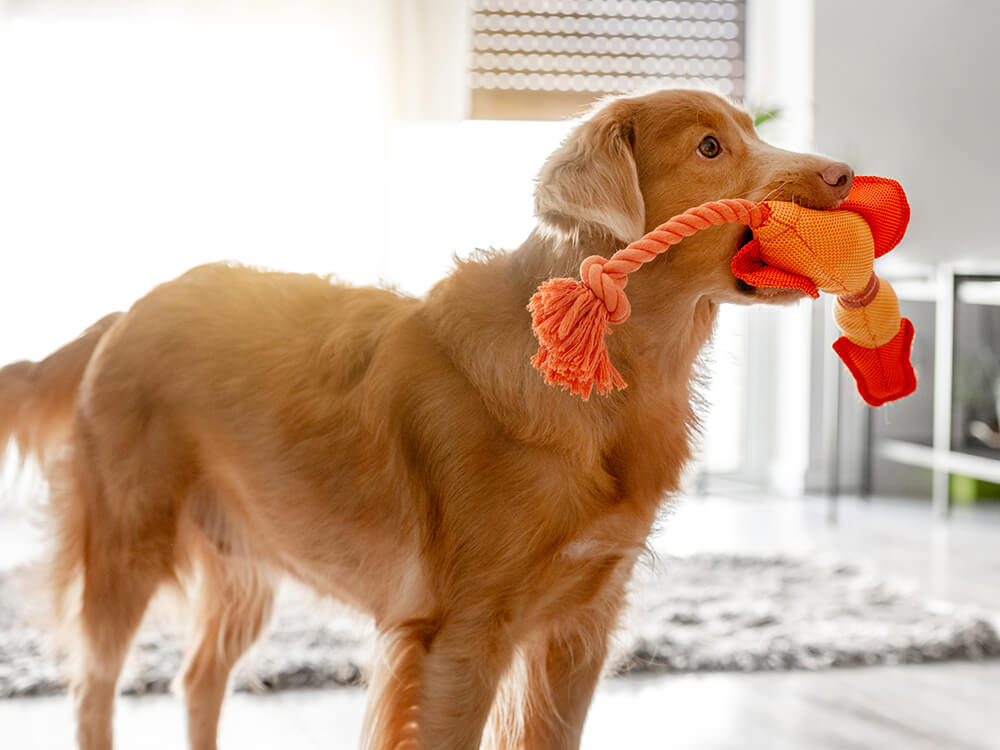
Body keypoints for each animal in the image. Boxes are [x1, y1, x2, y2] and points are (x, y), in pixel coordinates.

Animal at [1, 89, 860, 750]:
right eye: (711, 147)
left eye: (753, 128)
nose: (846, 174)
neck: (611, 373)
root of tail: (127, 311)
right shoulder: (461, 640)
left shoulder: (576, 634)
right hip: (127, 548)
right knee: (93, 687)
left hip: (245, 566)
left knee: (198, 678)